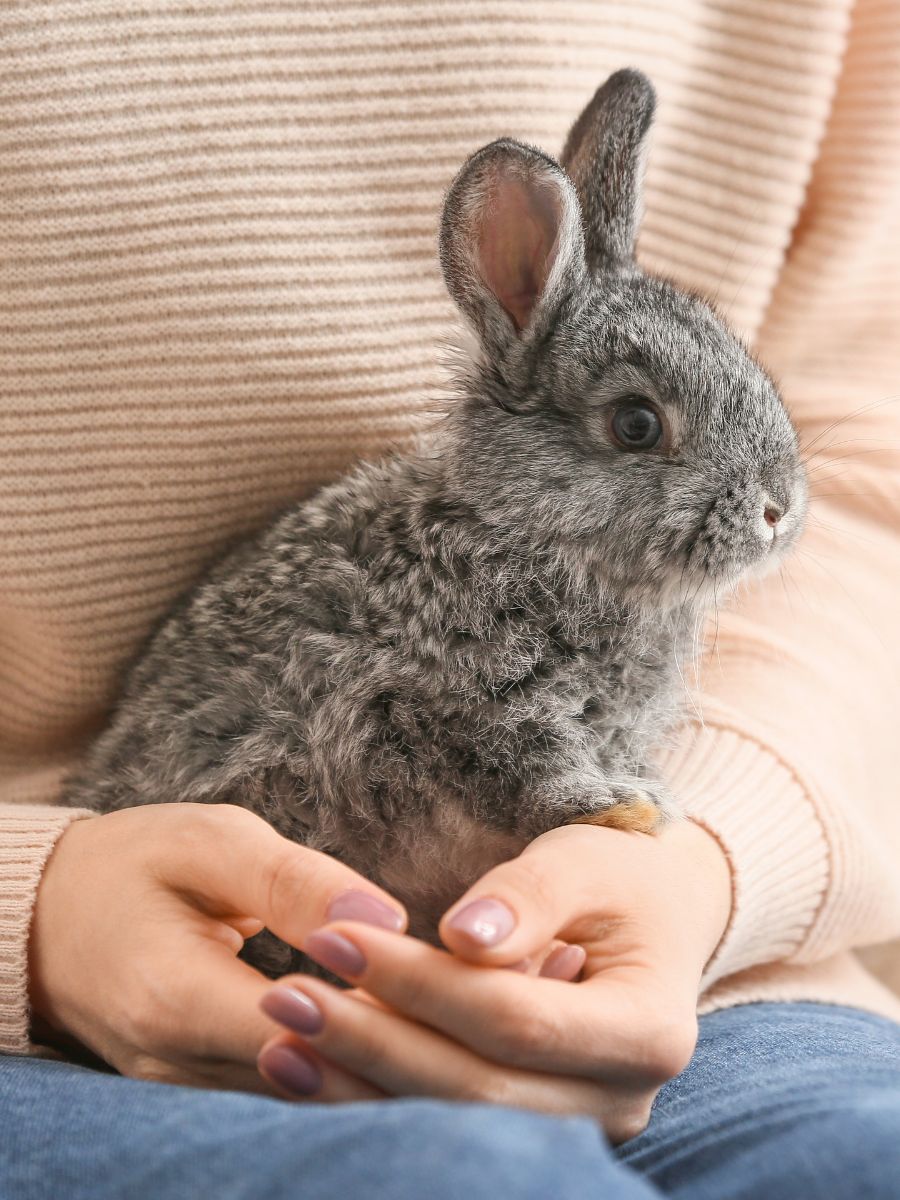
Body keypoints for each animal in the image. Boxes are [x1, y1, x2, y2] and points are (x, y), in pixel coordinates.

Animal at [62, 69, 807, 977]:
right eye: (636, 424)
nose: (779, 509)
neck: (531, 539)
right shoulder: (463, 707)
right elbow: (534, 776)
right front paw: (624, 810)